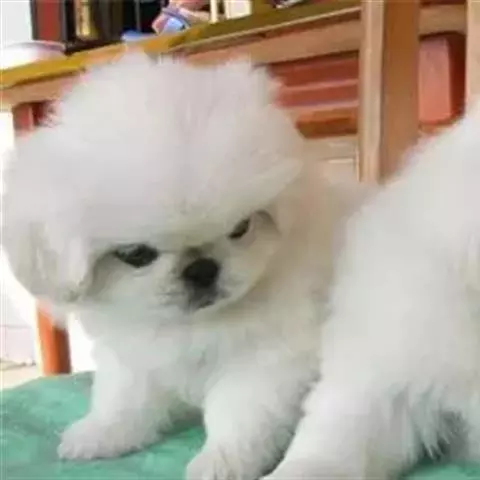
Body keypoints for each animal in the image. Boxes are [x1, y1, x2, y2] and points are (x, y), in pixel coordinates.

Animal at [2, 53, 353, 479]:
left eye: (241, 228)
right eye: (136, 254)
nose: (202, 269)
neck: (188, 326)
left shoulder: (266, 361)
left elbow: (240, 417)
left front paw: (222, 461)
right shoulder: (131, 356)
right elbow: (122, 399)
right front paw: (101, 434)